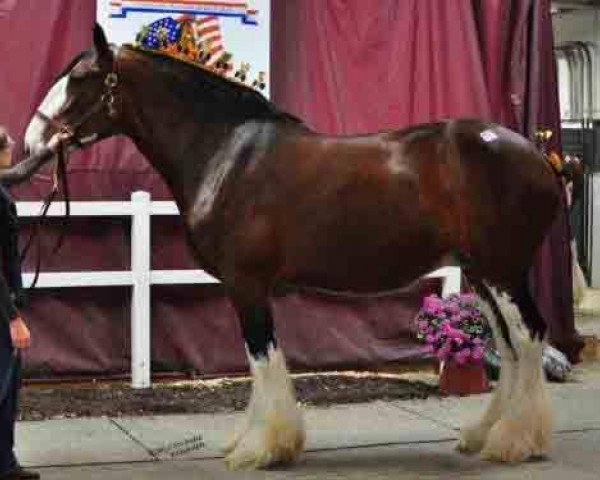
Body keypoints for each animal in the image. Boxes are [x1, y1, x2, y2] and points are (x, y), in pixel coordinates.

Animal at [23, 25, 556, 468]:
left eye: (83, 78)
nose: (31, 141)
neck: (226, 153)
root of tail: (539, 157)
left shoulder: (248, 284)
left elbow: (263, 359)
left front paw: (262, 449)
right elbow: (258, 361)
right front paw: (254, 442)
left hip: (502, 270)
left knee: (528, 335)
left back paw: (514, 442)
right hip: (482, 274)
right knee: (508, 344)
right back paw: (486, 435)